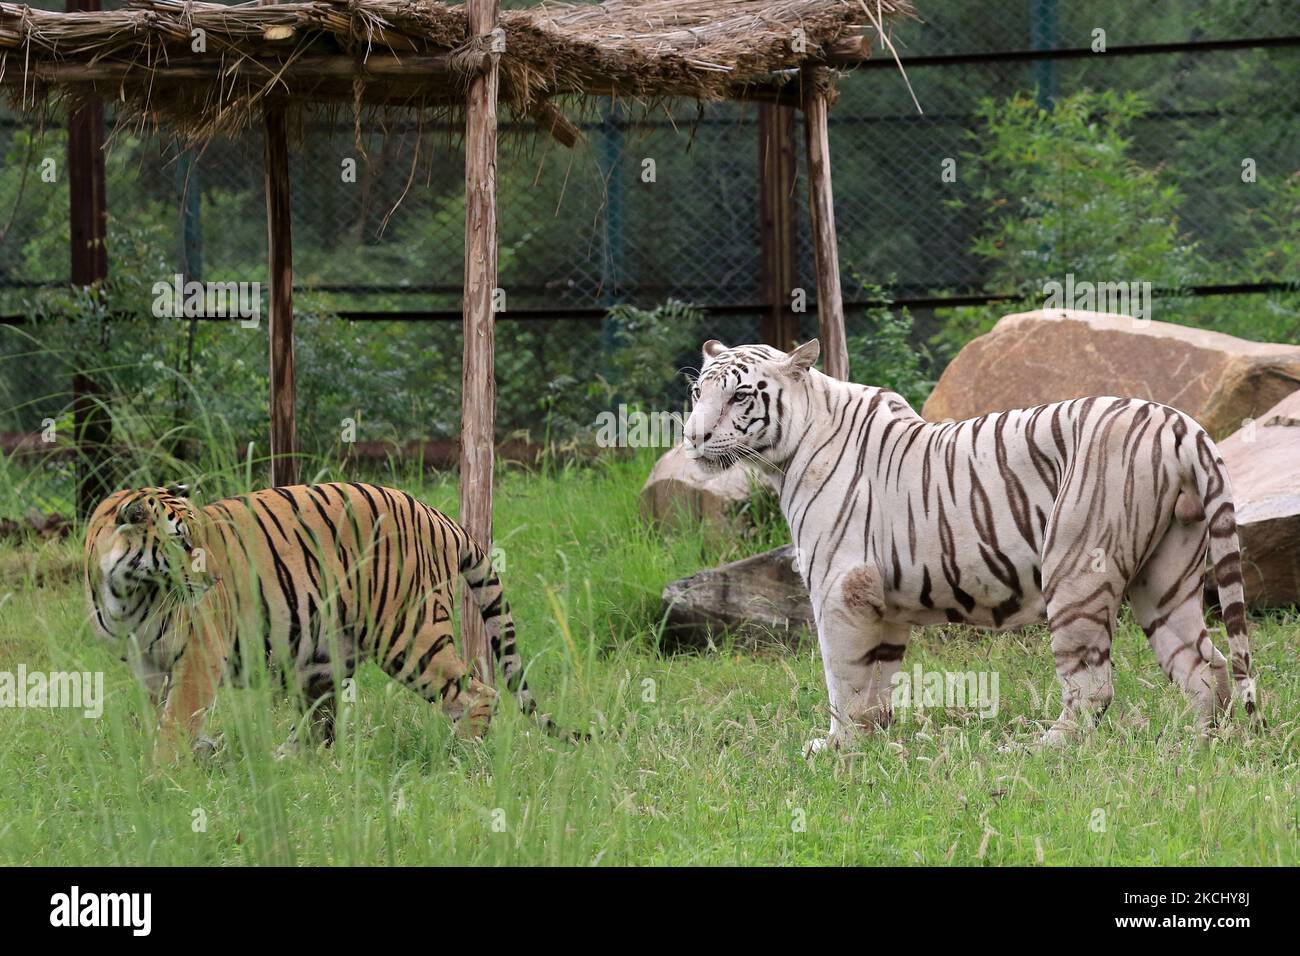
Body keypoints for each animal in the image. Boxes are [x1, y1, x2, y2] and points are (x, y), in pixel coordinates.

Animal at [81, 481, 569, 764]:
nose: (216, 577)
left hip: (409, 635)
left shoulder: (199, 656)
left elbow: (176, 722)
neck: (127, 593)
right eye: (182, 542)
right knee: (321, 725)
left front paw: (161, 780)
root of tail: (437, 514)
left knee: (477, 692)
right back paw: (287, 761)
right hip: (323, 654)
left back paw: (462, 759)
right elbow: (161, 718)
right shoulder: (147, 664)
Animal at [681, 338, 1258, 754]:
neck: (787, 454)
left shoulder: (841, 587)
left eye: (738, 396)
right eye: (697, 394)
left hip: (1076, 569)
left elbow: (842, 678)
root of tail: (1181, 423)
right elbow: (876, 681)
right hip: (1164, 578)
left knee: (1094, 686)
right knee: (1206, 665)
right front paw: (872, 743)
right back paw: (1200, 745)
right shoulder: (882, 603)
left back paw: (1039, 750)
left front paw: (836, 748)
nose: (692, 437)